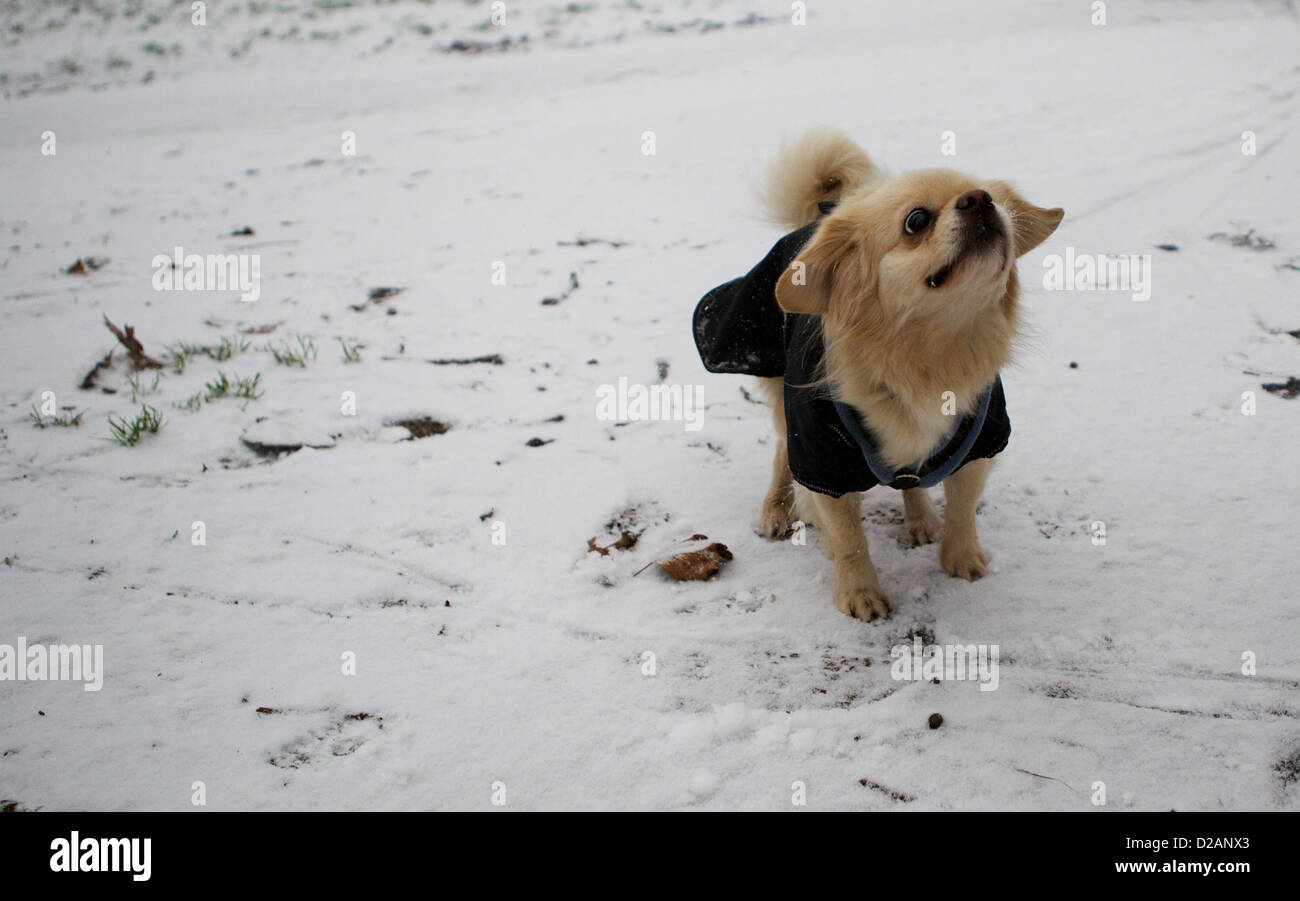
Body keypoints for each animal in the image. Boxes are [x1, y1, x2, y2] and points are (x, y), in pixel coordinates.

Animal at [696, 130, 1060, 618]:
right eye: (916, 221)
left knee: (911, 479)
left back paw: (920, 516)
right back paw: (777, 508)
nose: (980, 199)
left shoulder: (981, 438)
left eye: (994, 199)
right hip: (783, 398)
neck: (925, 354)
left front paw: (961, 558)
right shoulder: (823, 459)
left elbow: (963, 508)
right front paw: (859, 593)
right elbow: (849, 538)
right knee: (781, 450)